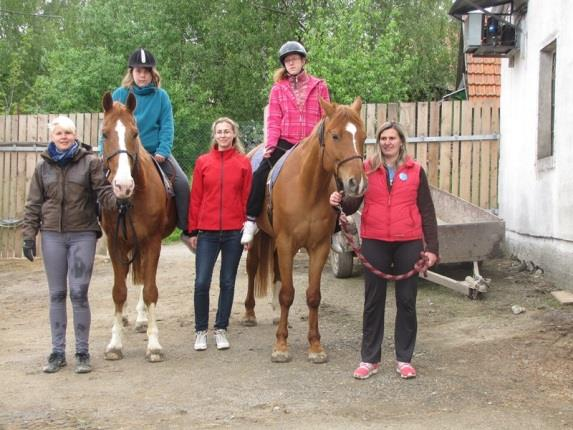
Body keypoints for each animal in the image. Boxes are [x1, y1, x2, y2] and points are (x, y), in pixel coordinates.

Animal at [99, 92, 177, 362]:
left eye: (135, 133)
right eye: (104, 134)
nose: (123, 185)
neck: (129, 201)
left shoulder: (152, 242)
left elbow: (150, 289)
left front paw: (153, 345)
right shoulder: (115, 243)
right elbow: (118, 291)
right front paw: (114, 344)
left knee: (144, 279)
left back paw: (142, 319)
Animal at [241, 97, 366, 362]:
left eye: (363, 135)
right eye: (335, 135)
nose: (356, 183)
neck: (308, 187)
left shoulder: (318, 247)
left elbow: (313, 296)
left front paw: (315, 346)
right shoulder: (287, 243)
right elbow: (288, 294)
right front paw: (281, 346)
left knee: (277, 272)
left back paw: (276, 316)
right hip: (261, 239)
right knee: (252, 268)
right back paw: (249, 314)